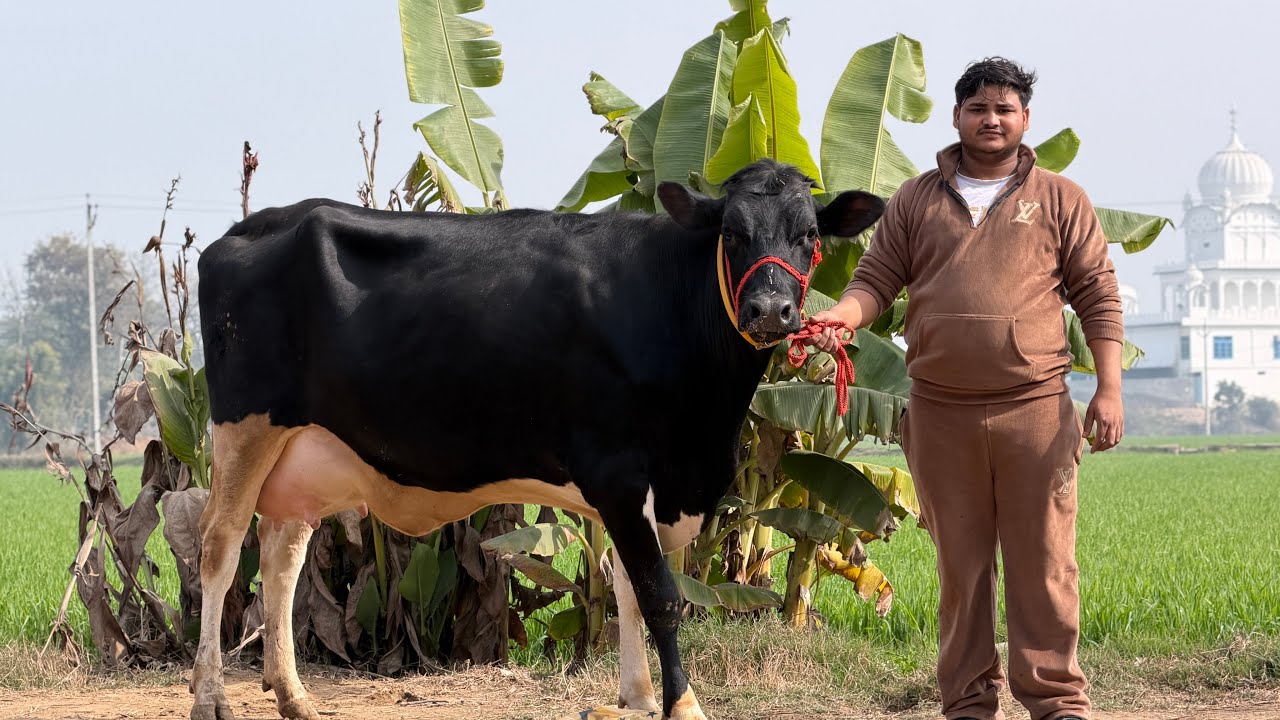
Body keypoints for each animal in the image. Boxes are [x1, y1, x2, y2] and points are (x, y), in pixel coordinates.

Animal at [190, 159, 884, 720]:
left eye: (809, 236)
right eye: (732, 234)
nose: (771, 311)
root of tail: (253, 225)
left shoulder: (649, 485)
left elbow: (628, 588)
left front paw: (636, 698)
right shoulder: (617, 472)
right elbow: (658, 594)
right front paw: (681, 704)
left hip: (303, 449)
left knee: (281, 558)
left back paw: (293, 696)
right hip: (244, 427)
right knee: (219, 551)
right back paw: (210, 696)